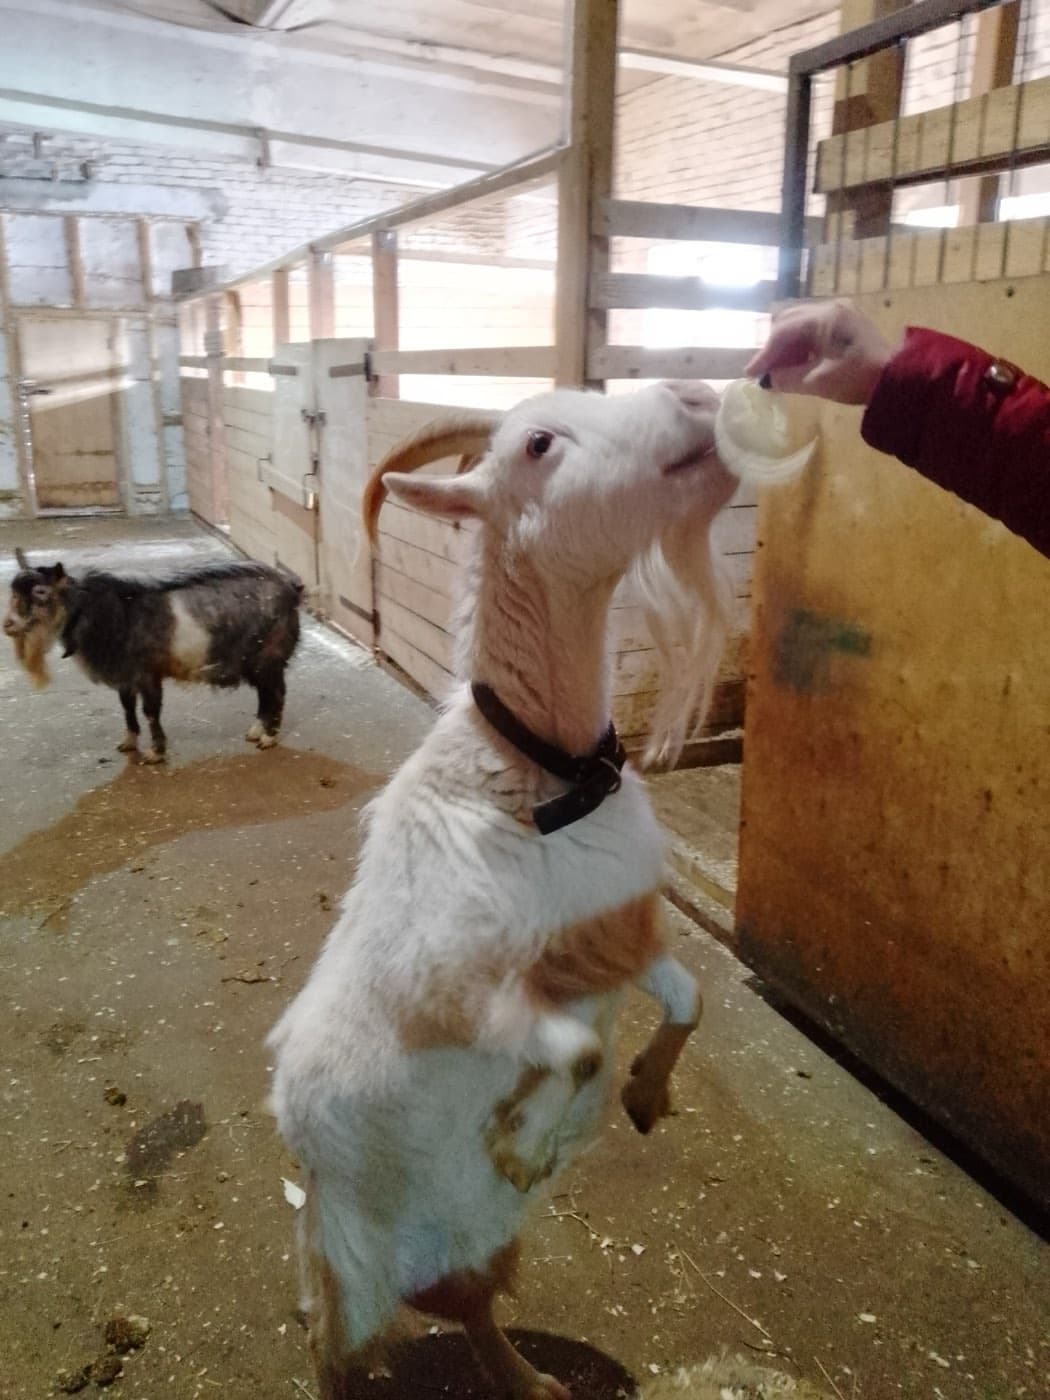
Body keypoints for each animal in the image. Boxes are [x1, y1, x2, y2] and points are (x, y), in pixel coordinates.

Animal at [4, 552, 302, 761]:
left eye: (41, 592)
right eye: (13, 591)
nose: (8, 625)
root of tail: (292, 587)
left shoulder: (148, 673)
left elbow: (150, 711)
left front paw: (155, 753)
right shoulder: (125, 676)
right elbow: (127, 708)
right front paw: (128, 743)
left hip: (269, 656)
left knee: (277, 693)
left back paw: (268, 738)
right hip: (256, 662)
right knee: (265, 694)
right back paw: (256, 731)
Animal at [269, 379, 811, 1399]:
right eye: (538, 444)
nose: (697, 393)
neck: (540, 774)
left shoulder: (610, 935)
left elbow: (692, 995)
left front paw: (644, 1095)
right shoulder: (462, 993)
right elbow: (576, 1049)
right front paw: (522, 1141)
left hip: (480, 1248)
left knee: (474, 1309)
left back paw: (532, 1381)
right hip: (343, 1264)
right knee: (336, 1351)